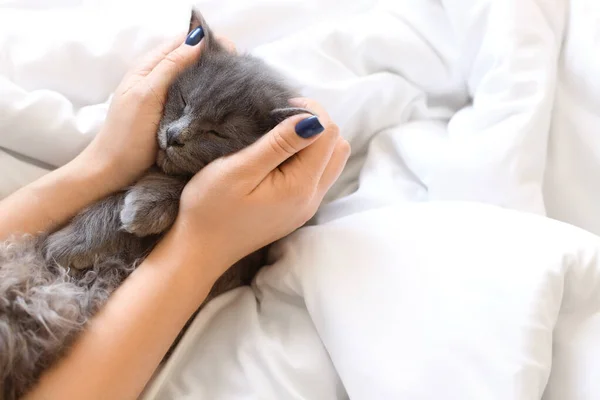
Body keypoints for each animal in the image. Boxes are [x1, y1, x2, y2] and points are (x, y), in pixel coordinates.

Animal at [0, 10, 310, 400]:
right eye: (184, 100)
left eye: (217, 132)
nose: (174, 135)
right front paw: (67, 244)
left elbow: (173, 183)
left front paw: (140, 210)